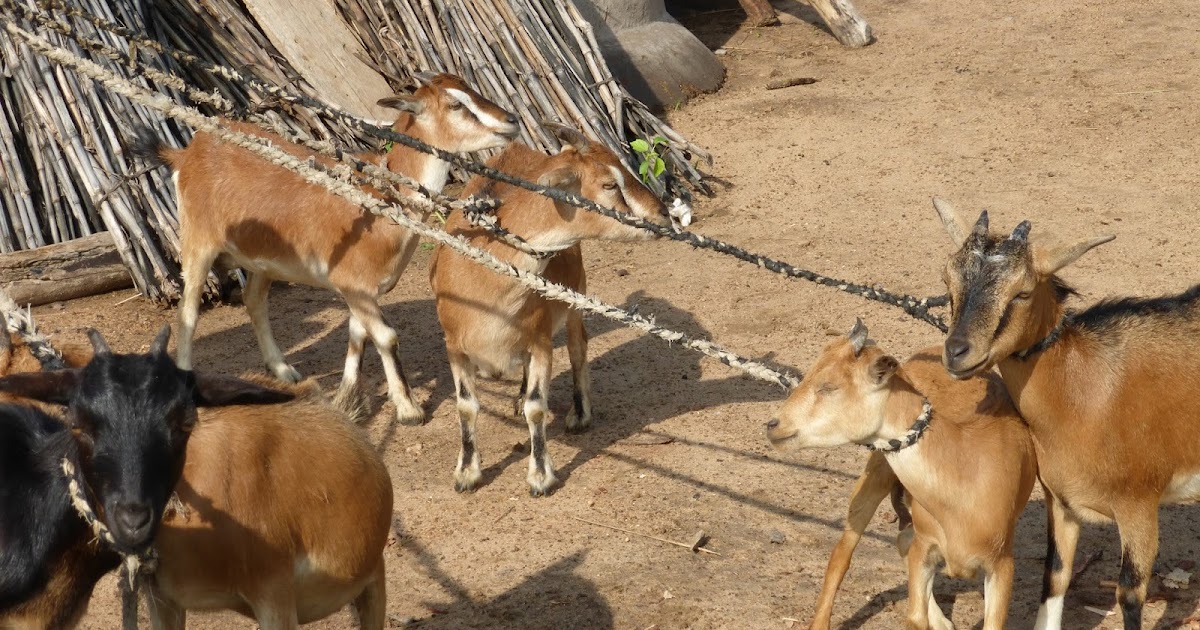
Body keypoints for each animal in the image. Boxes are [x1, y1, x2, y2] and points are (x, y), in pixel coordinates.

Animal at [0, 327, 393, 629]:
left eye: (184, 423)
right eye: (77, 424)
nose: (133, 519)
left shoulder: (274, 591)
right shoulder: (161, 595)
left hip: (372, 577)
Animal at [133, 72, 519, 425]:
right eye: (455, 104)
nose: (512, 121)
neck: (380, 199)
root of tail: (187, 153)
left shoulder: (359, 290)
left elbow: (358, 336)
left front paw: (346, 399)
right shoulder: (354, 285)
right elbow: (386, 337)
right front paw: (409, 410)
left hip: (264, 261)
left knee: (253, 300)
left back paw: (284, 371)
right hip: (198, 241)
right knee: (188, 311)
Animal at [429, 124, 670, 496]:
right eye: (609, 184)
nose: (663, 214)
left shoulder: (541, 341)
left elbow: (537, 407)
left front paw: (541, 476)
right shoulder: (454, 346)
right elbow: (466, 406)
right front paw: (467, 472)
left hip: (575, 295)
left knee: (577, 346)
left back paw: (580, 414)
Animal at [766, 320, 1036, 629]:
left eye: (829, 386)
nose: (773, 425)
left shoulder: (1002, 564)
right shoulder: (925, 547)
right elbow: (914, 617)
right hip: (877, 473)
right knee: (843, 552)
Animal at [931, 198, 1200, 630]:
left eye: (1022, 292)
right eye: (947, 279)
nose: (957, 352)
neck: (1086, 391)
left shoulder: (1139, 504)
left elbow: (1130, 593)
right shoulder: (1061, 501)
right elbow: (1055, 575)